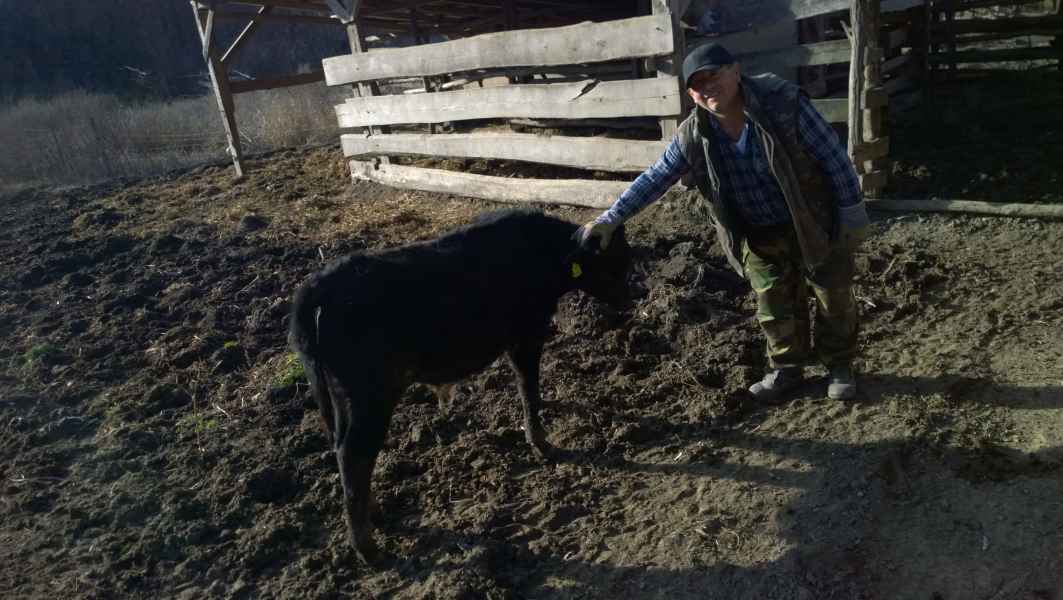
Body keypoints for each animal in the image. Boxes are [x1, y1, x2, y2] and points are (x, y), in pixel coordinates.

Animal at [288, 209, 632, 563]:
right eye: (616, 262)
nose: (632, 298)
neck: (544, 255)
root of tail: (315, 287)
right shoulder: (526, 334)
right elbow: (528, 387)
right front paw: (542, 444)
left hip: (337, 396)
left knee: (343, 451)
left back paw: (376, 513)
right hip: (368, 395)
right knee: (352, 454)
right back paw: (369, 550)